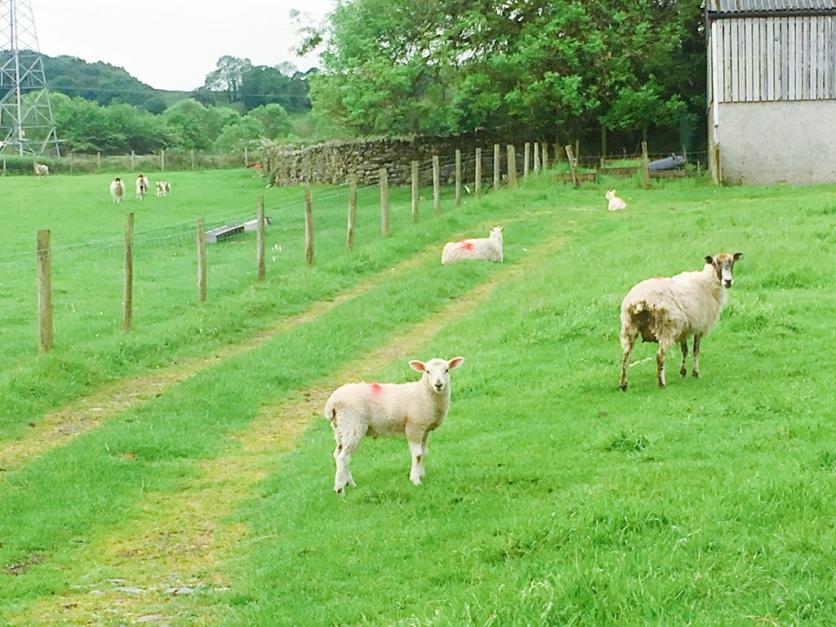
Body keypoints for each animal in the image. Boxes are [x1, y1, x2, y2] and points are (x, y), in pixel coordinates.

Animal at [324, 358, 464, 496]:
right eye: (427, 371)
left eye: (446, 370)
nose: (438, 385)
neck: (423, 392)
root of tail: (332, 402)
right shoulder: (414, 427)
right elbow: (417, 454)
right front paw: (415, 480)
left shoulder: (424, 430)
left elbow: (424, 453)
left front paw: (421, 475)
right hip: (353, 425)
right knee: (343, 457)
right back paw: (340, 488)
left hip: (341, 428)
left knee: (339, 454)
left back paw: (350, 483)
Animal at [620, 253, 744, 390]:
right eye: (715, 263)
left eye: (732, 262)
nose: (728, 281)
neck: (707, 282)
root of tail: (641, 300)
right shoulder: (699, 326)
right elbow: (695, 350)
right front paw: (695, 372)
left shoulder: (684, 328)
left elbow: (684, 350)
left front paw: (683, 371)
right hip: (666, 327)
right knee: (660, 356)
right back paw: (661, 383)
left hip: (629, 326)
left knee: (626, 356)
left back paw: (623, 384)